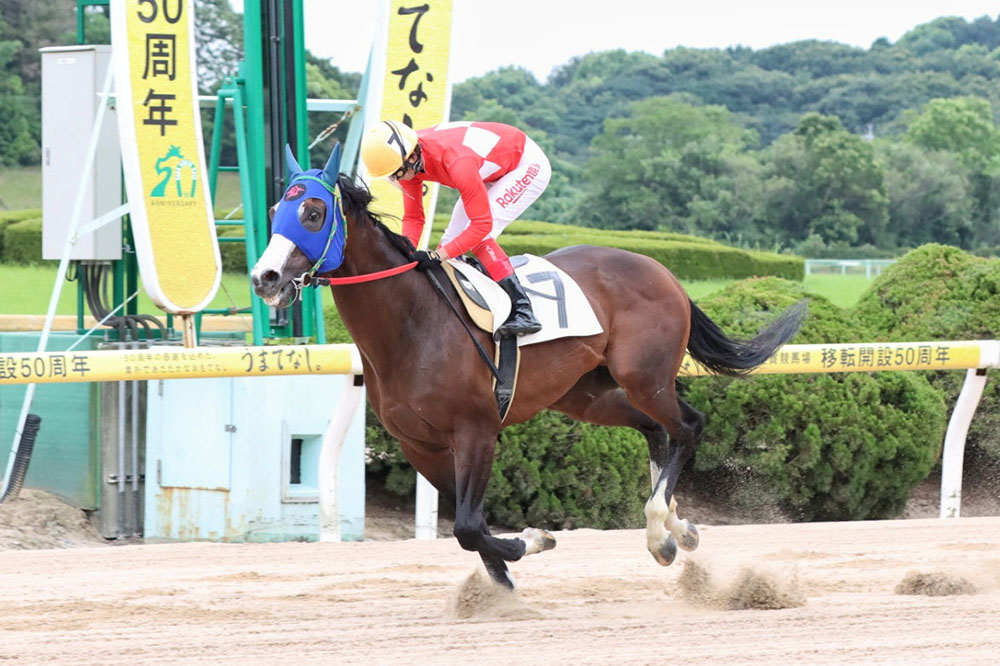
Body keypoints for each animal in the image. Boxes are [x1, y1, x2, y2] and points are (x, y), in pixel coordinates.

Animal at [250, 144, 804, 588]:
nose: (264, 277)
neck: (413, 324)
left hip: (644, 377)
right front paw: (503, 585)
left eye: (314, 212)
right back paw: (675, 530)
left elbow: (469, 527)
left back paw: (659, 530)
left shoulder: (476, 428)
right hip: (587, 395)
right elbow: (471, 530)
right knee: (655, 430)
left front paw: (533, 540)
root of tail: (661, 269)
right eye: (277, 208)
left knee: (688, 426)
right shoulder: (420, 445)